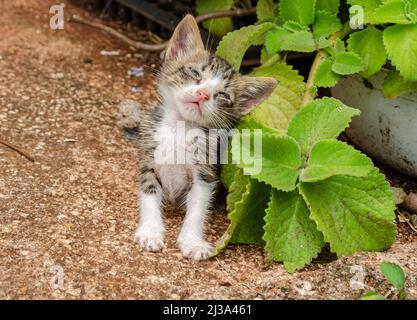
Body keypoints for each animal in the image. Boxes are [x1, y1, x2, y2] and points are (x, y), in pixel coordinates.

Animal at [117, 14, 276, 260]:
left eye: (223, 95)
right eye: (194, 73)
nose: (202, 94)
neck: (180, 129)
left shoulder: (205, 172)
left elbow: (198, 208)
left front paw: (192, 241)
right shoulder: (149, 159)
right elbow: (149, 194)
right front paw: (150, 231)